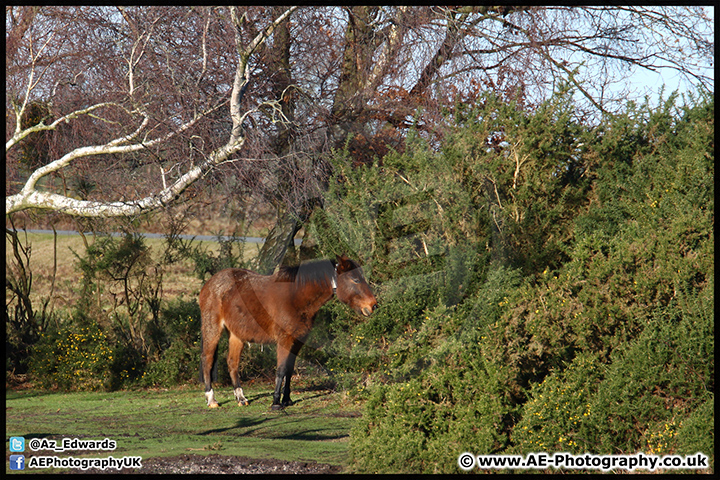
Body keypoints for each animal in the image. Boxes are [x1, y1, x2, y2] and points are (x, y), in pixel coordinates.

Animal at [197, 255, 376, 408]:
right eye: (355, 279)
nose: (373, 305)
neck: (295, 296)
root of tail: (209, 283)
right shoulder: (284, 339)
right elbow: (281, 369)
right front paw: (276, 402)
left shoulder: (298, 340)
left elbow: (289, 370)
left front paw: (287, 399)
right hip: (212, 328)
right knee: (207, 359)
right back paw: (211, 399)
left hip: (237, 335)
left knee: (232, 363)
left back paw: (241, 398)